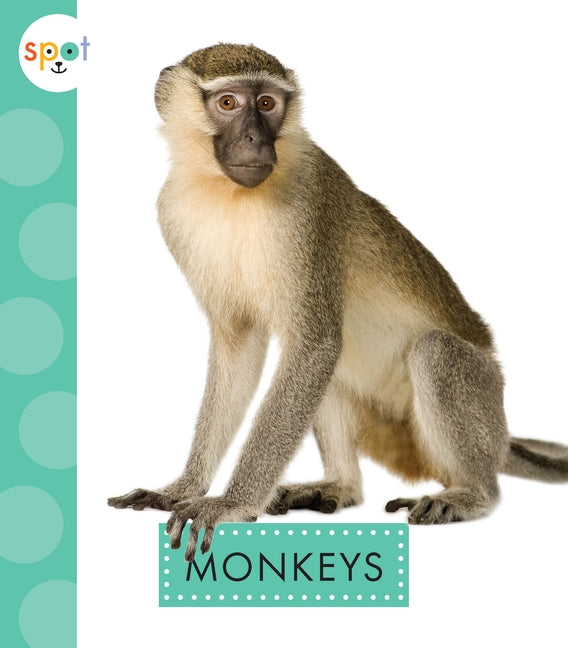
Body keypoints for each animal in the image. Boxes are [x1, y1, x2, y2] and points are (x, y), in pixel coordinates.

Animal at [108, 43, 568, 562]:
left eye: (267, 103)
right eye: (228, 103)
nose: (253, 138)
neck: (228, 193)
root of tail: (501, 433)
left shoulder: (309, 206)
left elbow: (314, 346)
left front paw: (229, 504)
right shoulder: (172, 212)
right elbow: (242, 348)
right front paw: (182, 488)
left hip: (483, 397)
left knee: (432, 352)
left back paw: (473, 494)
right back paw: (340, 486)